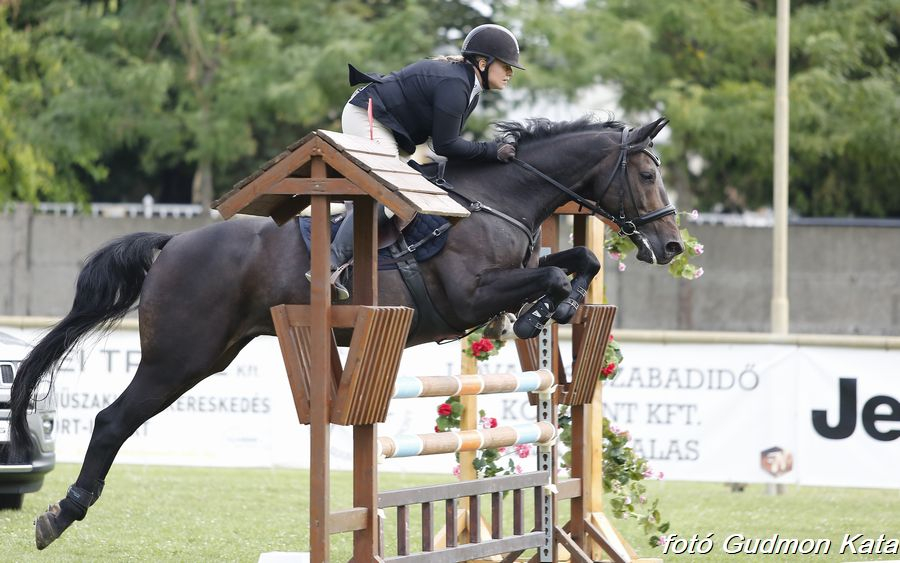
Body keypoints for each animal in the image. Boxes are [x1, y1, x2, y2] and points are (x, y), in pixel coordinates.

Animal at [8, 114, 684, 552]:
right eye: (648, 175)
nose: (672, 245)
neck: (498, 199)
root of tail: (172, 243)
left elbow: (579, 262)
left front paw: (551, 310)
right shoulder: (470, 295)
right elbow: (550, 272)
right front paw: (539, 313)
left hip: (207, 357)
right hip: (178, 358)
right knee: (111, 422)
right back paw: (59, 517)